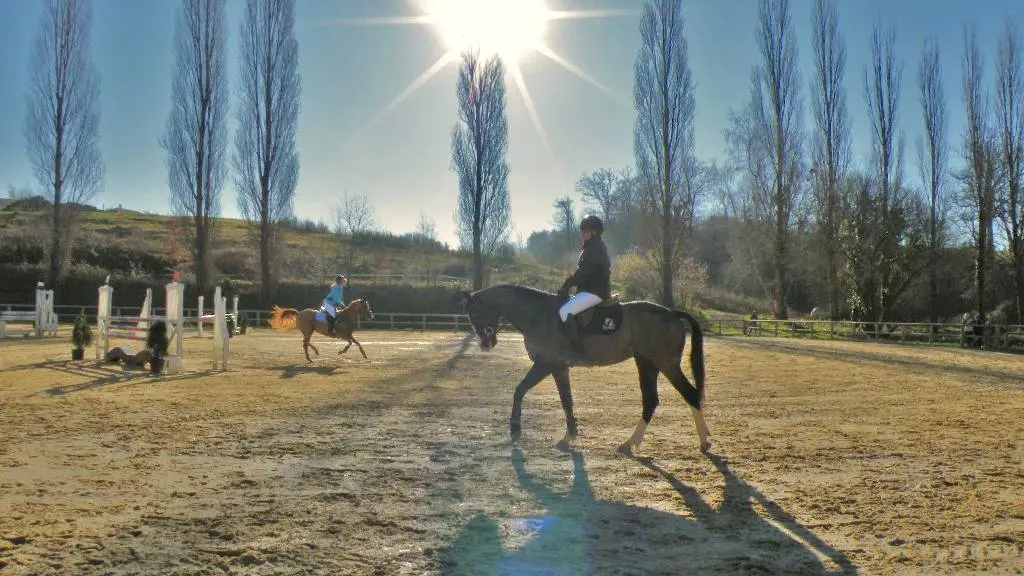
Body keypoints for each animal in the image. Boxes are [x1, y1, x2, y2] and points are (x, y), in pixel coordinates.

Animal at [458, 282, 712, 453]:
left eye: (474, 312)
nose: (486, 344)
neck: (536, 314)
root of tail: (671, 312)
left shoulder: (546, 364)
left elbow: (520, 390)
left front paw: (515, 428)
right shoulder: (559, 368)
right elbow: (567, 400)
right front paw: (569, 436)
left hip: (665, 363)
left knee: (688, 394)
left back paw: (704, 442)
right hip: (646, 363)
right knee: (651, 400)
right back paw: (631, 443)